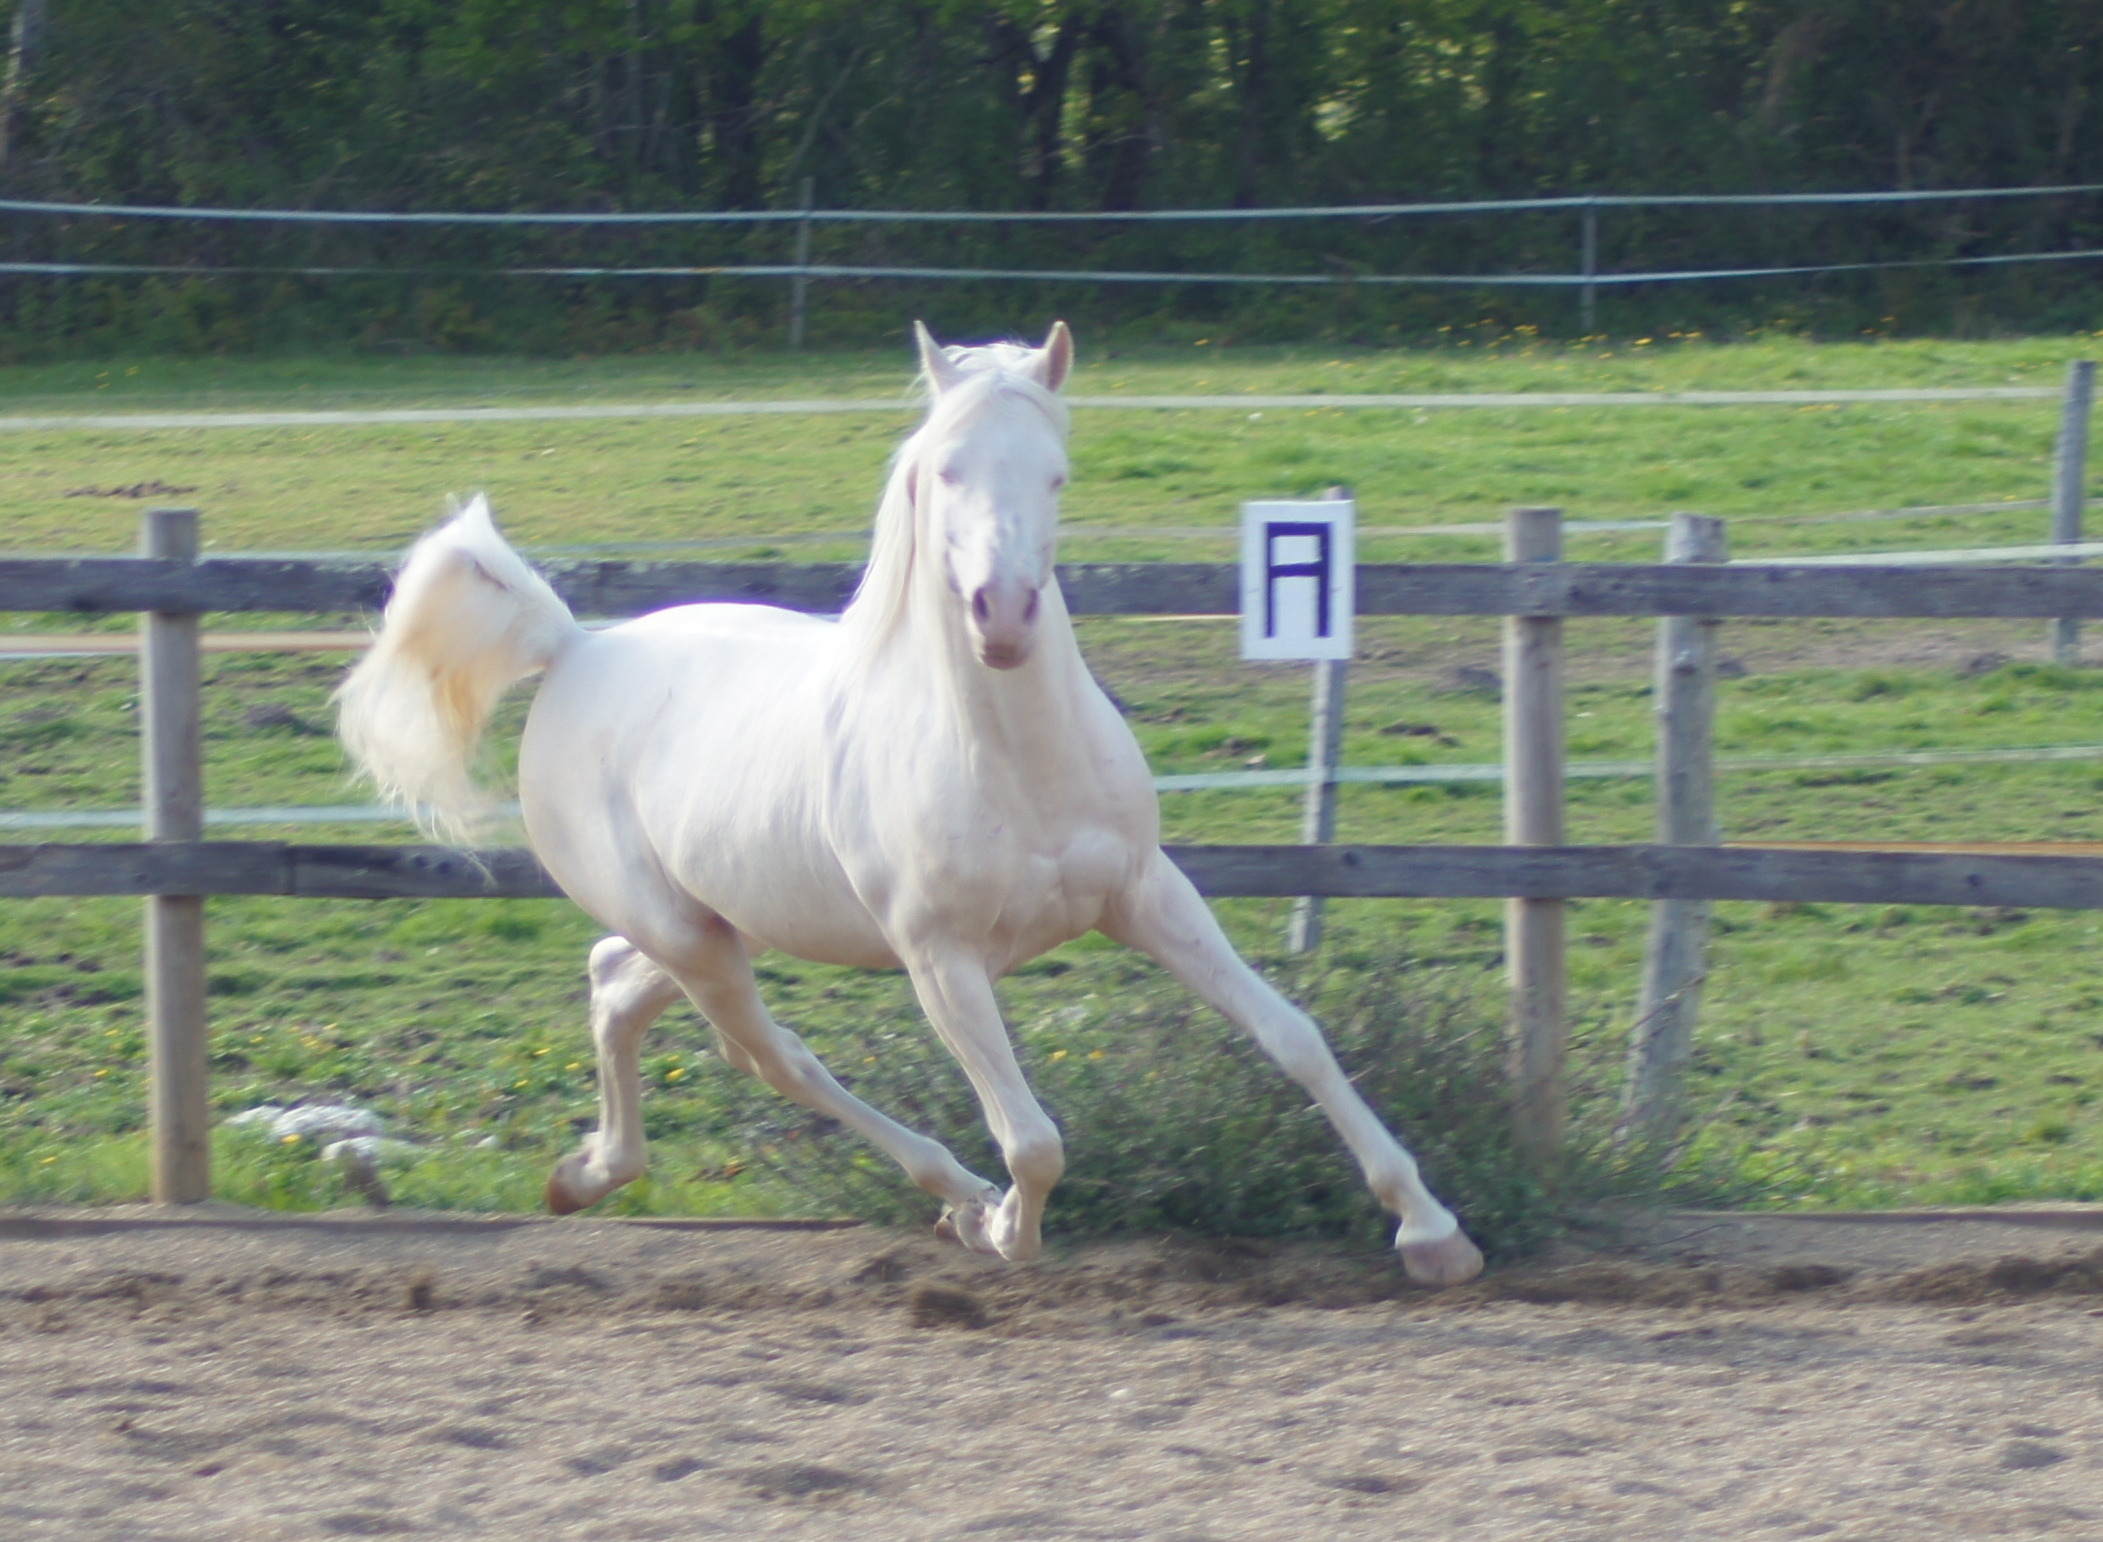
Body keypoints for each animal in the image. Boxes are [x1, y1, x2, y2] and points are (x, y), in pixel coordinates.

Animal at [336, 323, 1488, 1287]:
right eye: (945, 470)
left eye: (1057, 472)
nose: (1003, 615)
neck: (1015, 764)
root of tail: (576, 649)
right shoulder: (940, 958)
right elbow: (1035, 1138)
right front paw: (1011, 1231)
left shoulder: (1146, 897)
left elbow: (1293, 1037)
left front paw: (1431, 1232)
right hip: (695, 937)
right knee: (773, 1055)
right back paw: (959, 1197)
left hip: (715, 921)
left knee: (617, 986)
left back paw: (588, 1174)